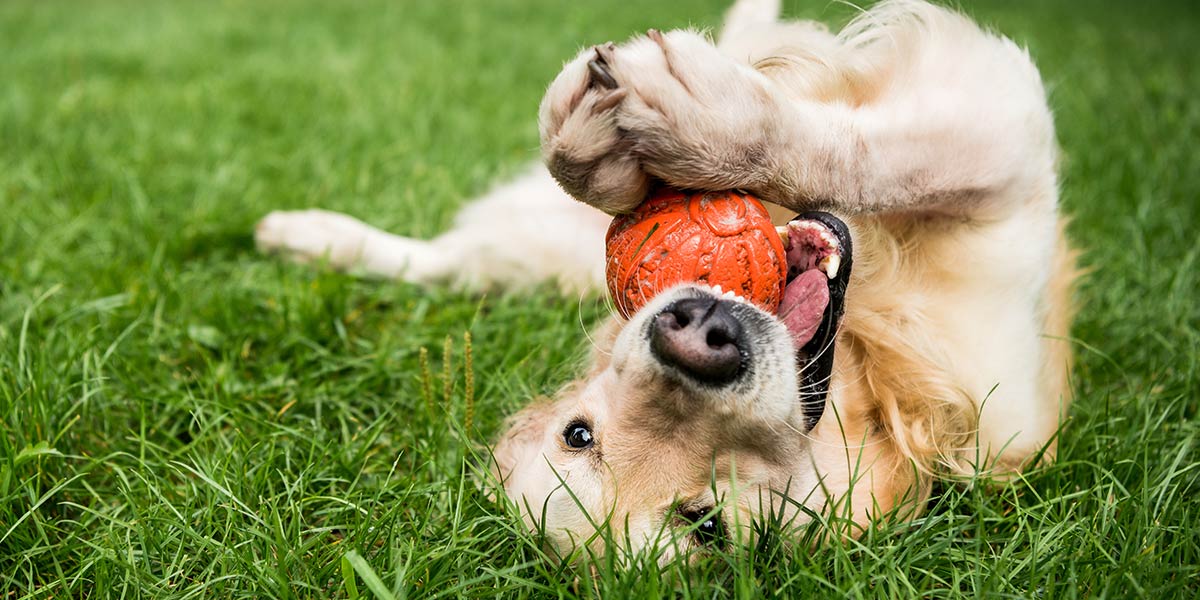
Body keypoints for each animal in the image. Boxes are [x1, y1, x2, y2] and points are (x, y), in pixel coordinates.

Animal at [255, 0, 1080, 561]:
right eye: (581, 434)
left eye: (706, 520)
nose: (699, 337)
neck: (868, 369)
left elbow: (861, 154)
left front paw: (686, 127)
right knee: (447, 260)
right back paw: (309, 237)